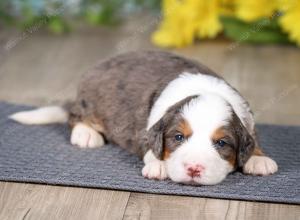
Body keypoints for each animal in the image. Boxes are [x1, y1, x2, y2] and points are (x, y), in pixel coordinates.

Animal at [9, 50, 276, 185]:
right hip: (90, 103)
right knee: (75, 116)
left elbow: (254, 138)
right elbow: (150, 149)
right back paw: (85, 134)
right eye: (178, 137)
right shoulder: (143, 132)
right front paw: (159, 165)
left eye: (221, 143)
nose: (193, 169)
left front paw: (258, 159)